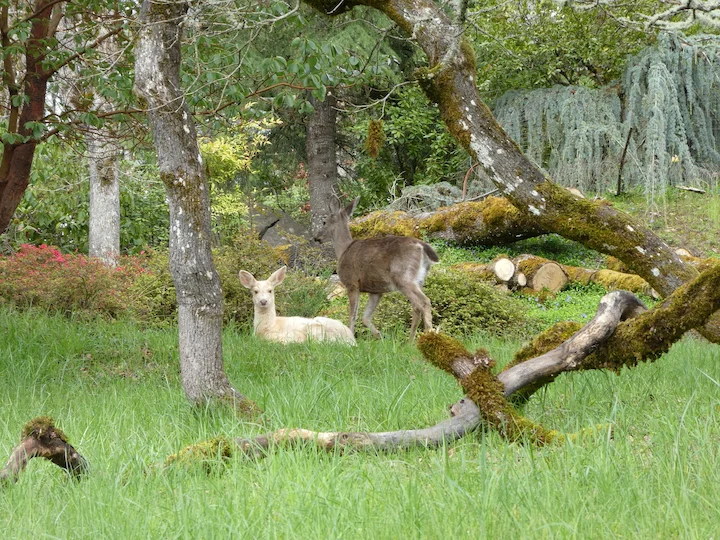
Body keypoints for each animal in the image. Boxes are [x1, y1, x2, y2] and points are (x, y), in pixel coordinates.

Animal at [314, 196, 438, 341]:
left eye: (324, 222)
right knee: (416, 306)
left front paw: (351, 336)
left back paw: (426, 336)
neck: (343, 250)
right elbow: (365, 317)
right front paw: (380, 336)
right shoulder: (376, 291)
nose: (316, 237)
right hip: (419, 279)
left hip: (403, 277)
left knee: (423, 302)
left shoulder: (351, 283)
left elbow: (353, 315)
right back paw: (412, 339)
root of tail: (422, 246)